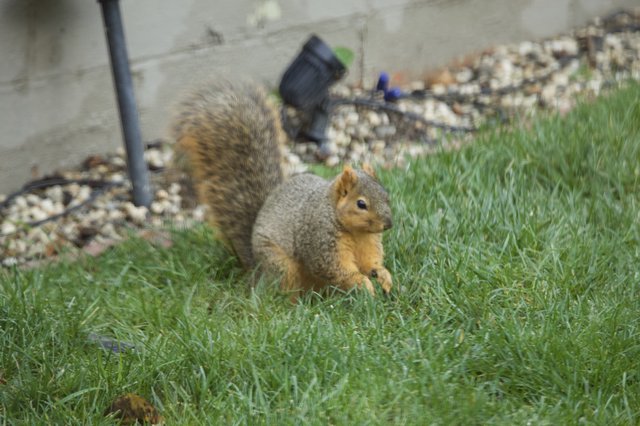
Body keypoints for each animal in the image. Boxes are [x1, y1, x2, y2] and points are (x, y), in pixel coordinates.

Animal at [171, 80, 393, 298]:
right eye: (361, 204)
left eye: (386, 196)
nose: (388, 224)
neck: (355, 231)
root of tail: (257, 271)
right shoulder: (320, 240)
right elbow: (333, 268)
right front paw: (363, 283)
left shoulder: (368, 243)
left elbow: (370, 262)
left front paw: (383, 275)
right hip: (281, 265)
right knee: (283, 290)